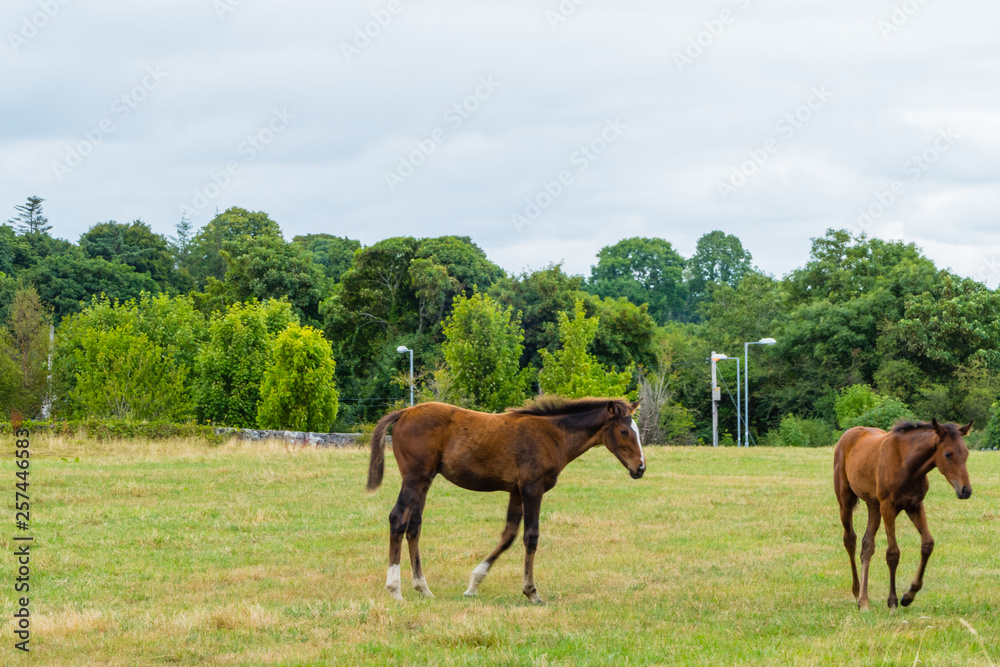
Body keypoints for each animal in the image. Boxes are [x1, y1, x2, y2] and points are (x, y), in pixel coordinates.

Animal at [370, 396, 648, 604]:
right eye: (624, 431)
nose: (640, 468)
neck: (552, 436)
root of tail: (404, 412)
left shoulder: (516, 492)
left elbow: (508, 535)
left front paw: (473, 584)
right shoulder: (533, 488)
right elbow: (531, 536)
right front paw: (532, 592)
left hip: (425, 480)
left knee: (414, 526)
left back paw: (423, 588)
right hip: (414, 477)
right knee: (397, 519)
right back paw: (395, 589)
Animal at [832, 420, 972, 612]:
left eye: (966, 453)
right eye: (948, 454)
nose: (966, 490)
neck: (907, 464)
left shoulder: (914, 505)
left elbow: (927, 544)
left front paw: (908, 596)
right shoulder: (888, 507)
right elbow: (893, 553)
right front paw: (893, 601)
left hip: (873, 506)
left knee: (867, 545)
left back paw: (864, 600)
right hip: (846, 502)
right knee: (850, 540)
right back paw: (856, 592)